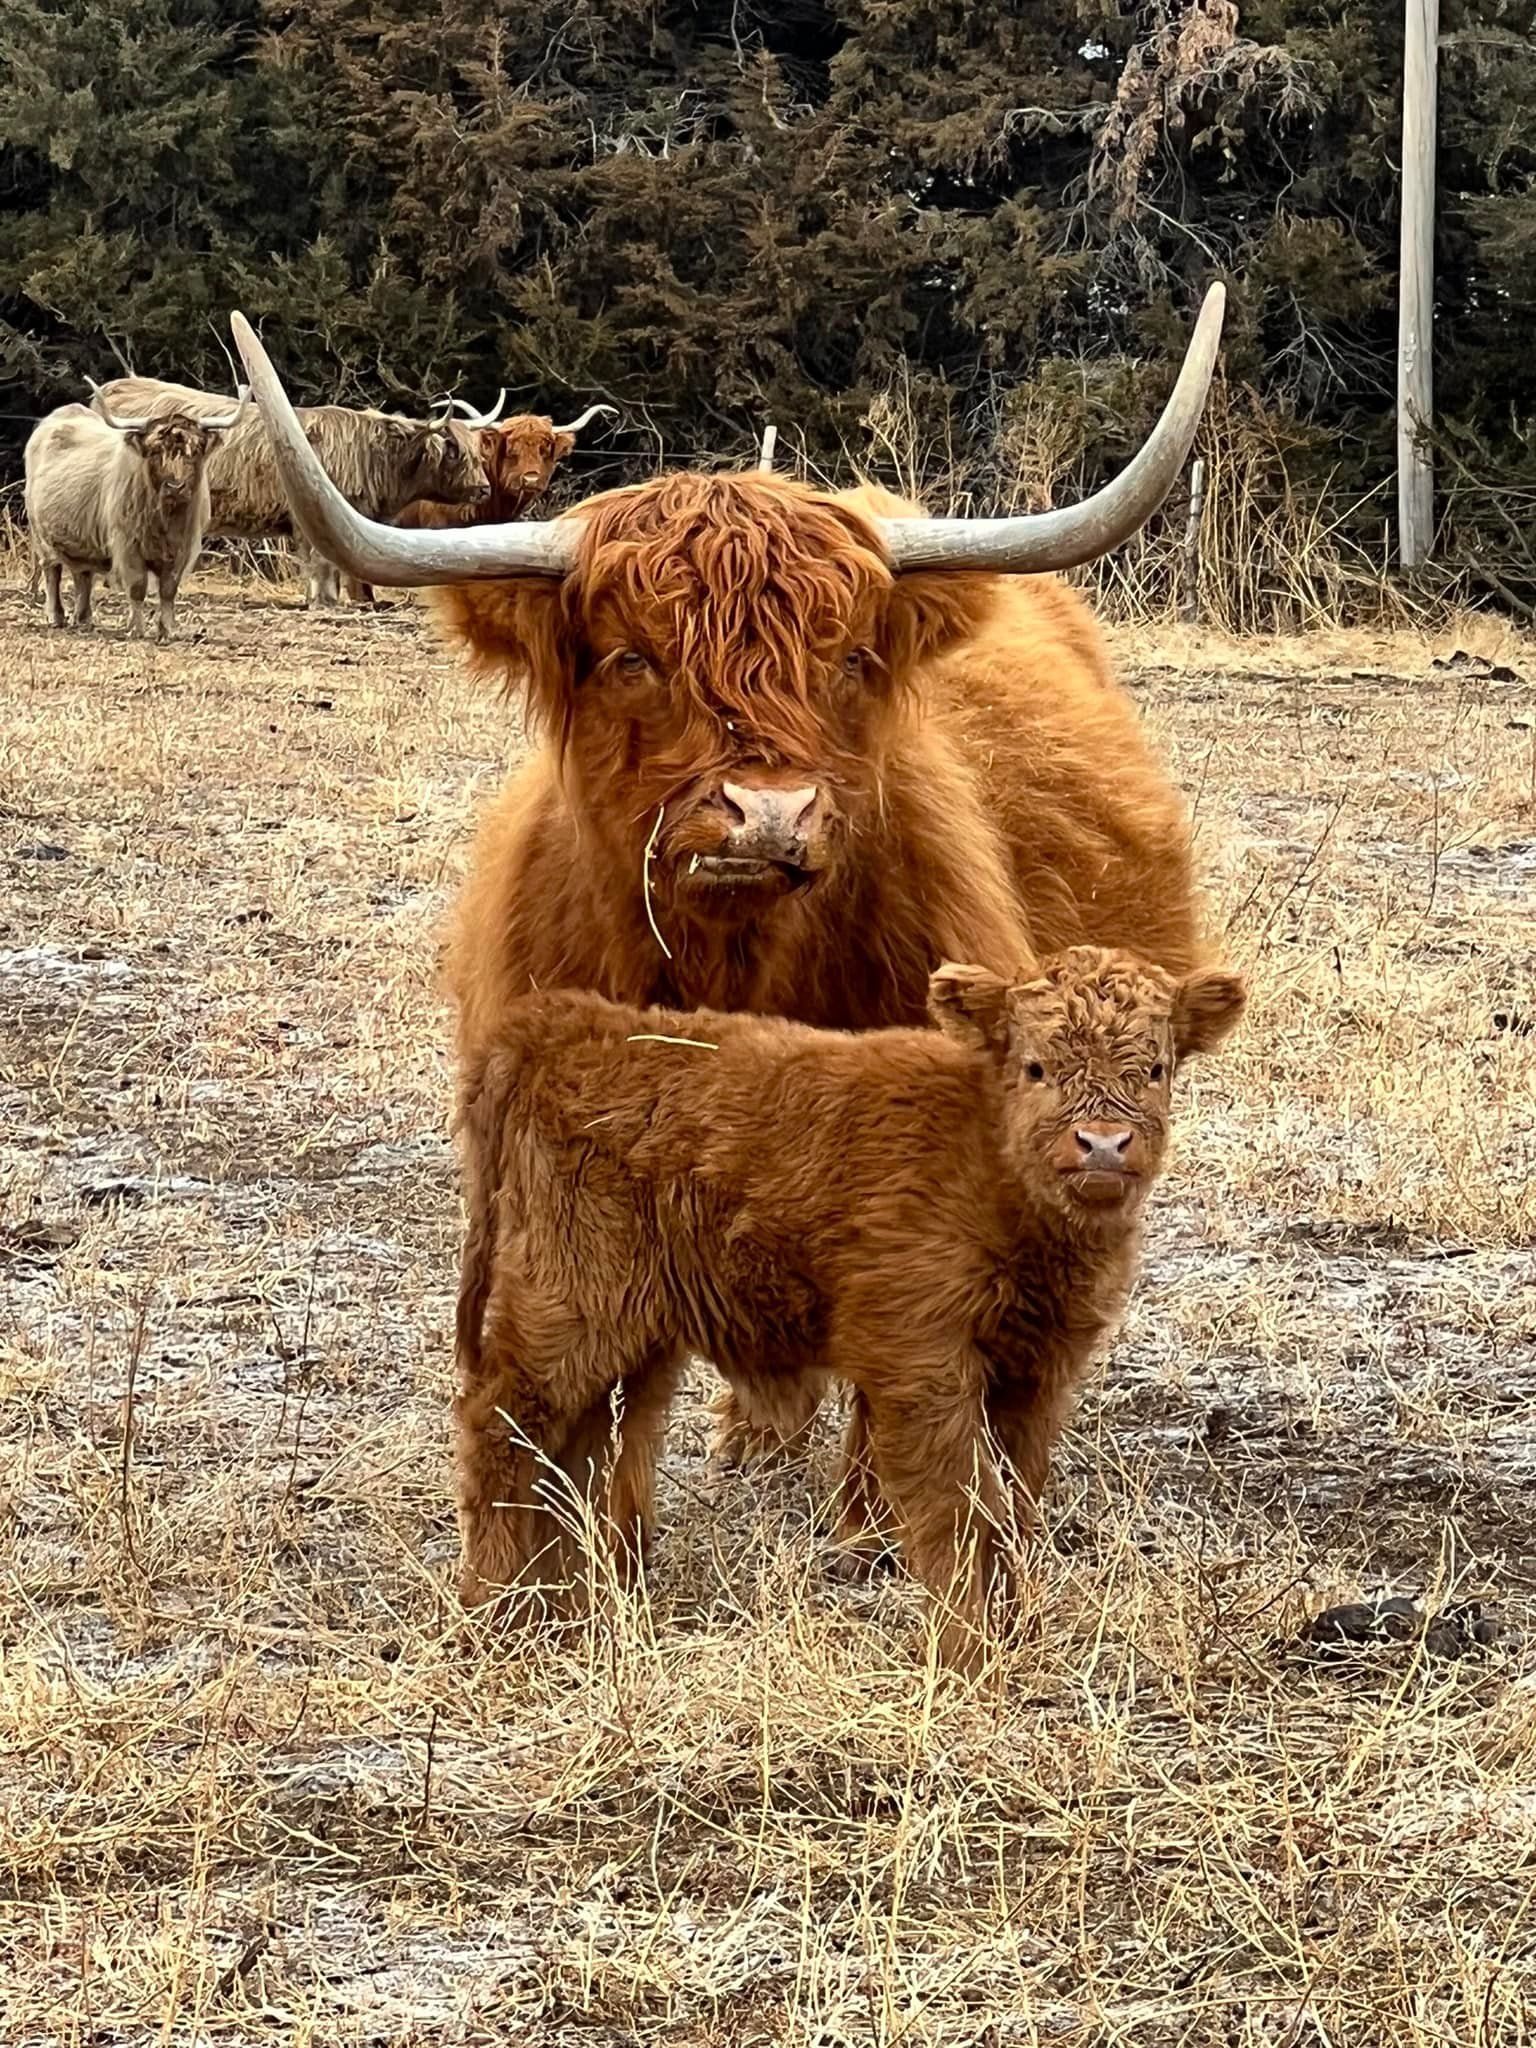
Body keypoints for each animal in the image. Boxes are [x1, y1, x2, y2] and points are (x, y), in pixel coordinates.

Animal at [24, 393, 244, 640]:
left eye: (194, 452)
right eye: (155, 452)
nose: (175, 487)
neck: (166, 519)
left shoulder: (183, 549)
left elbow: (169, 590)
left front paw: (167, 629)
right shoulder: (128, 545)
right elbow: (137, 586)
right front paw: (136, 628)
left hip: (80, 538)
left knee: (83, 575)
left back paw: (83, 617)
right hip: (41, 537)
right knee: (52, 571)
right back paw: (56, 616)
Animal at [88, 374, 490, 607]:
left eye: (478, 451)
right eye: (454, 452)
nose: (484, 488)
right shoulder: (312, 519)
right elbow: (321, 566)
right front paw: (324, 602)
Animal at [451, 948, 1247, 1662]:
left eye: (1155, 1069)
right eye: (1036, 1067)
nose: (1103, 1145)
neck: (989, 1164)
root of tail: (563, 1024)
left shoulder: (1037, 1371)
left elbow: (1015, 1503)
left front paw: (1013, 1630)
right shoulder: (919, 1362)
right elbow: (958, 1505)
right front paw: (970, 1654)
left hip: (634, 1337)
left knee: (582, 1453)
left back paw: (573, 1605)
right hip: (565, 1308)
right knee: (502, 1425)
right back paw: (497, 1610)